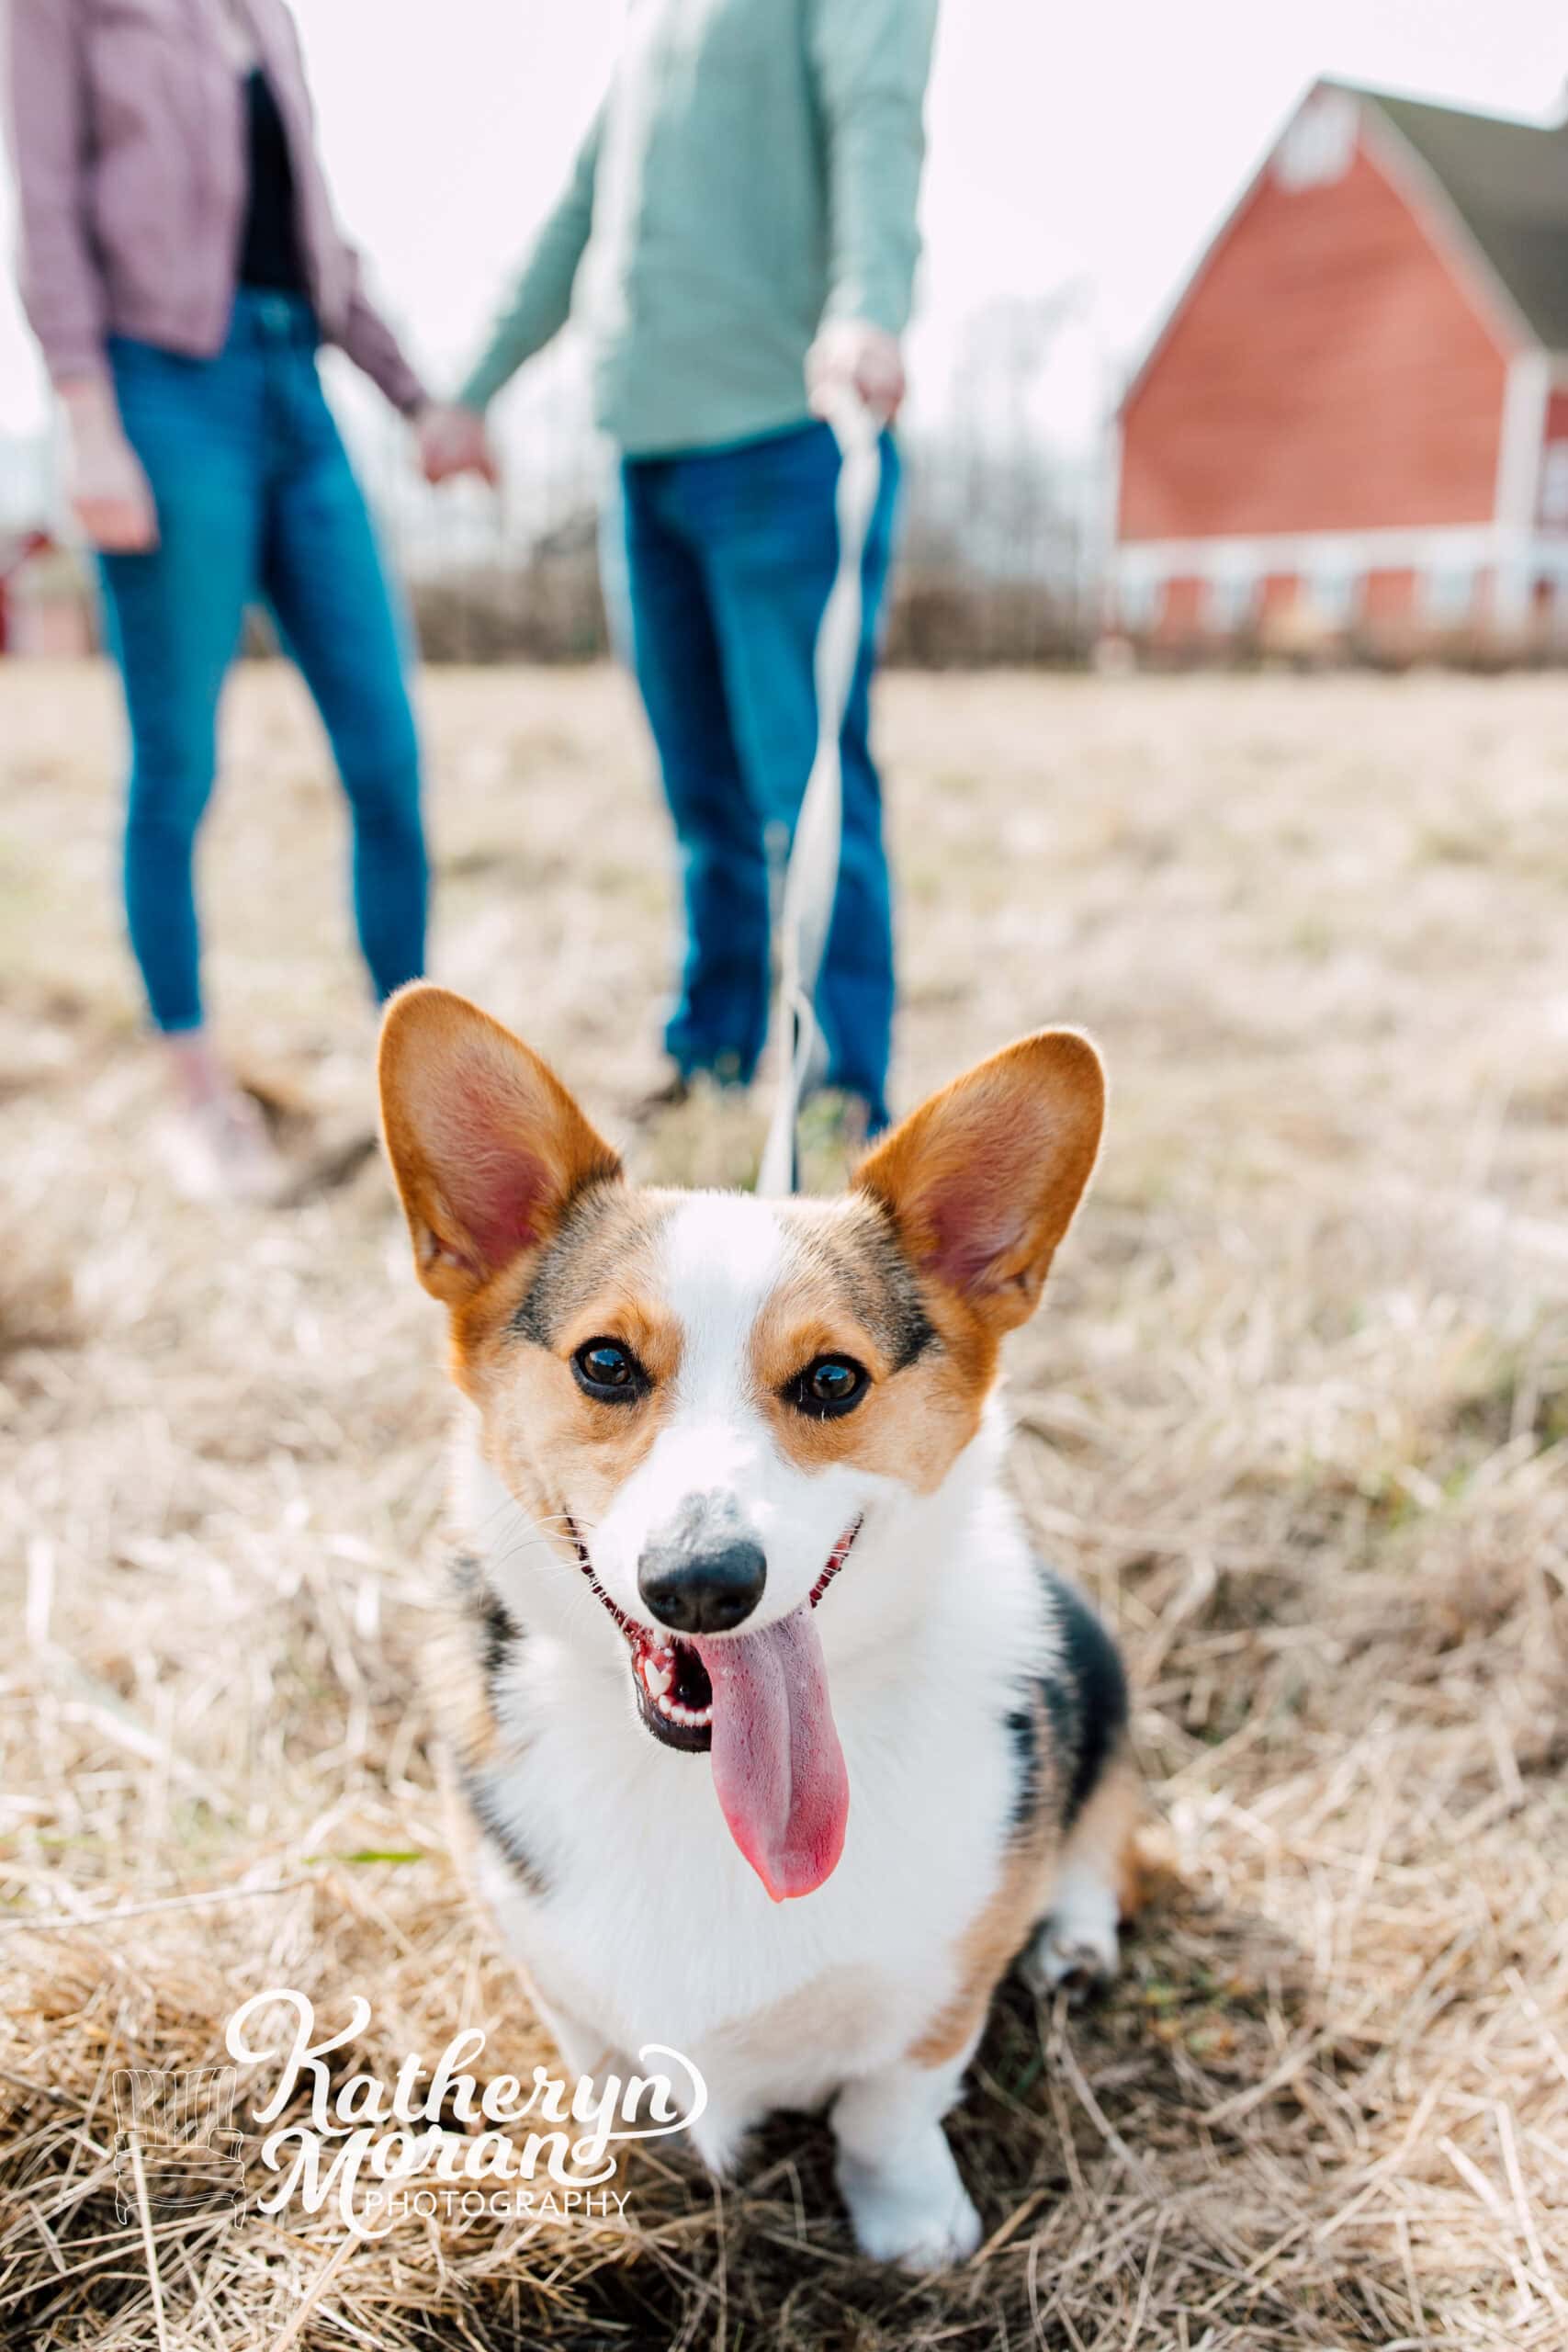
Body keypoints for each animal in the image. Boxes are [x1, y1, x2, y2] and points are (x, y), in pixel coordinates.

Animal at [380, 983, 1142, 2267]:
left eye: (834, 1381)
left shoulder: (940, 1989)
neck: (698, 1796)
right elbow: (609, 2072)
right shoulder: (554, 1976)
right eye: (604, 1362)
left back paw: (1076, 1939)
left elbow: (889, 2103)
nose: (700, 1583)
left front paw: (913, 2224)